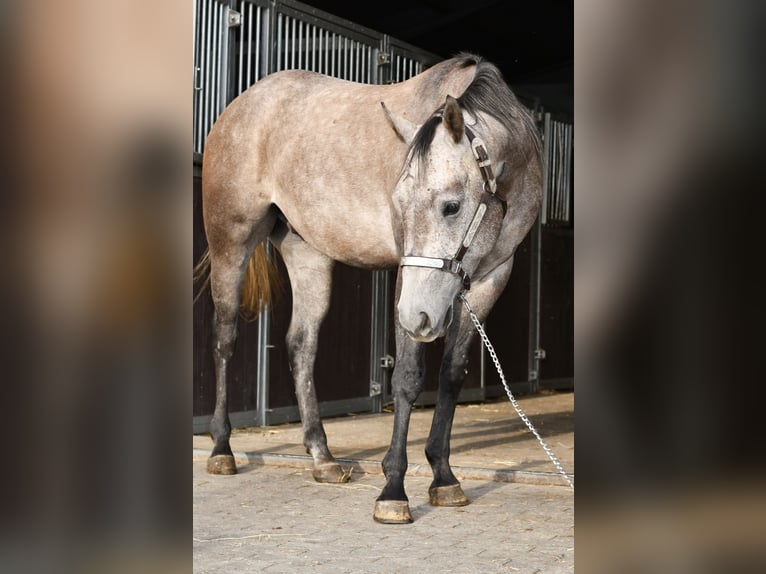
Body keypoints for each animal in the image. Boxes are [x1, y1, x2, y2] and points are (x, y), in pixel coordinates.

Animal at [195, 53, 542, 524]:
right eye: (398, 204)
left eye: (451, 206)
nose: (420, 315)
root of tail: (238, 108)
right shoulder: (405, 279)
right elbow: (408, 378)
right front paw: (393, 490)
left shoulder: (491, 277)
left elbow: (452, 374)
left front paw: (444, 478)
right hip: (231, 242)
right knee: (224, 339)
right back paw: (221, 449)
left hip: (308, 254)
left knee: (300, 345)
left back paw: (322, 458)